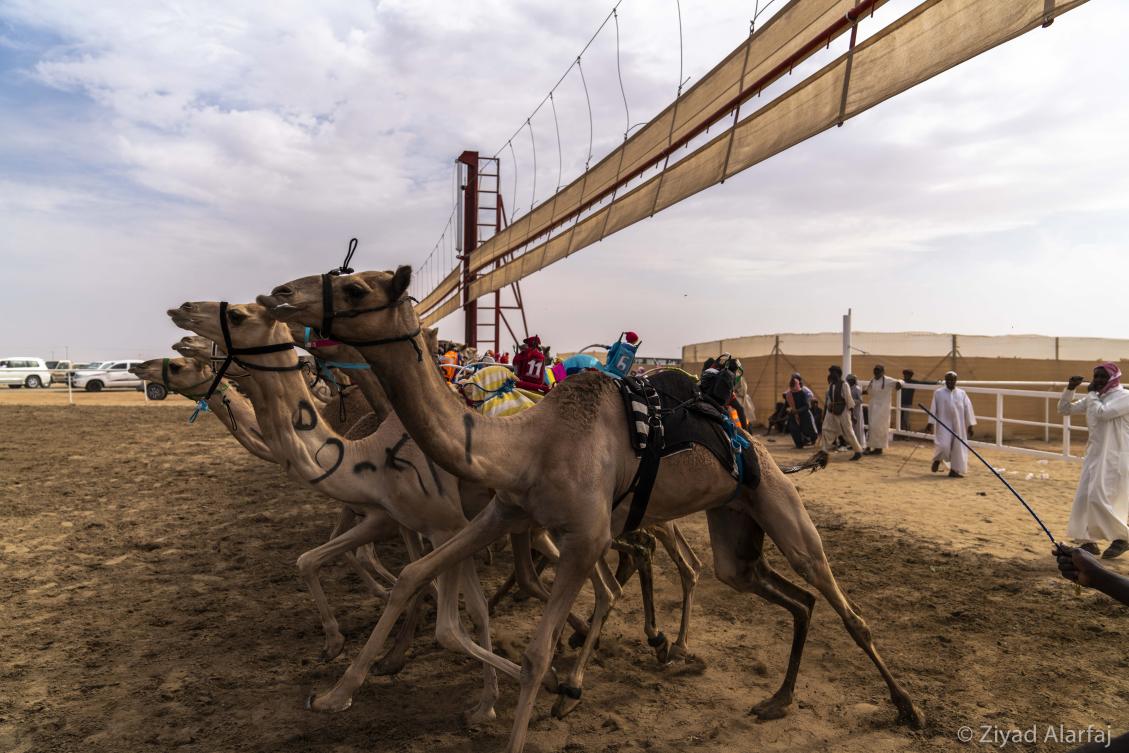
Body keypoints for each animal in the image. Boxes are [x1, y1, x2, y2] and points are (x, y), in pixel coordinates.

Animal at [168, 300, 522, 723]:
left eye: (237, 315)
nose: (181, 312)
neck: (368, 455)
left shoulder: (441, 525)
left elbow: (442, 614)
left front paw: (336, 693)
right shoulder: (430, 524)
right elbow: (468, 607)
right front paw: (487, 701)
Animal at [257, 267, 924, 753]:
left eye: (355, 287)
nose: (278, 294)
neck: (527, 445)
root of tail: (746, 433)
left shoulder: (585, 538)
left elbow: (537, 652)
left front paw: (553, 689)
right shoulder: (506, 514)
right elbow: (416, 573)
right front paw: (333, 694)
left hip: (776, 502)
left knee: (840, 602)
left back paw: (908, 707)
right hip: (736, 526)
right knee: (782, 592)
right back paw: (776, 698)